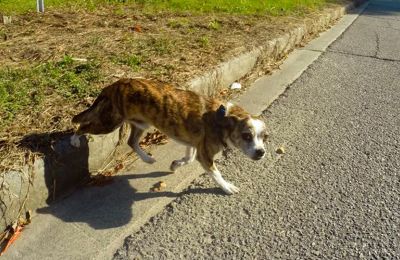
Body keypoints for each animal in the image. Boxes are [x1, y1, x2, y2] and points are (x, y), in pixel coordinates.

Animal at [70, 78, 268, 194]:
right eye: (246, 136)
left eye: (265, 137)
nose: (261, 152)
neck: (223, 118)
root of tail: (114, 85)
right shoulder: (205, 154)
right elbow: (216, 173)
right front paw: (227, 187)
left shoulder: (193, 143)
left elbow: (189, 158)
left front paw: (175, 165)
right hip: (109, 122)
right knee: (81, 125)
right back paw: (74, 139)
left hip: (140, 123)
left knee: (131, 141)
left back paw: (147, 159)